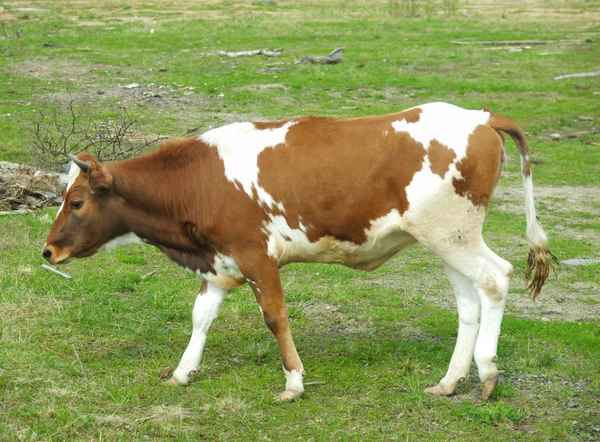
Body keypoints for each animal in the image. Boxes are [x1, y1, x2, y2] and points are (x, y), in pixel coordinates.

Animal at [43, 102, 556, 400]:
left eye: (76, 201)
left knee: (496, 277)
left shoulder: (255, 255)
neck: (198, 180)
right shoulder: (219, 260)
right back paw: (450, 382)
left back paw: (487, 373)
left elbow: (275, 316)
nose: (47, 251)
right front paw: (183, 373)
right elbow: (201, 316)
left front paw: (293, 382)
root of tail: (482, 116)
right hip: (445, 239)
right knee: (469, 302)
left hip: (454, 233)